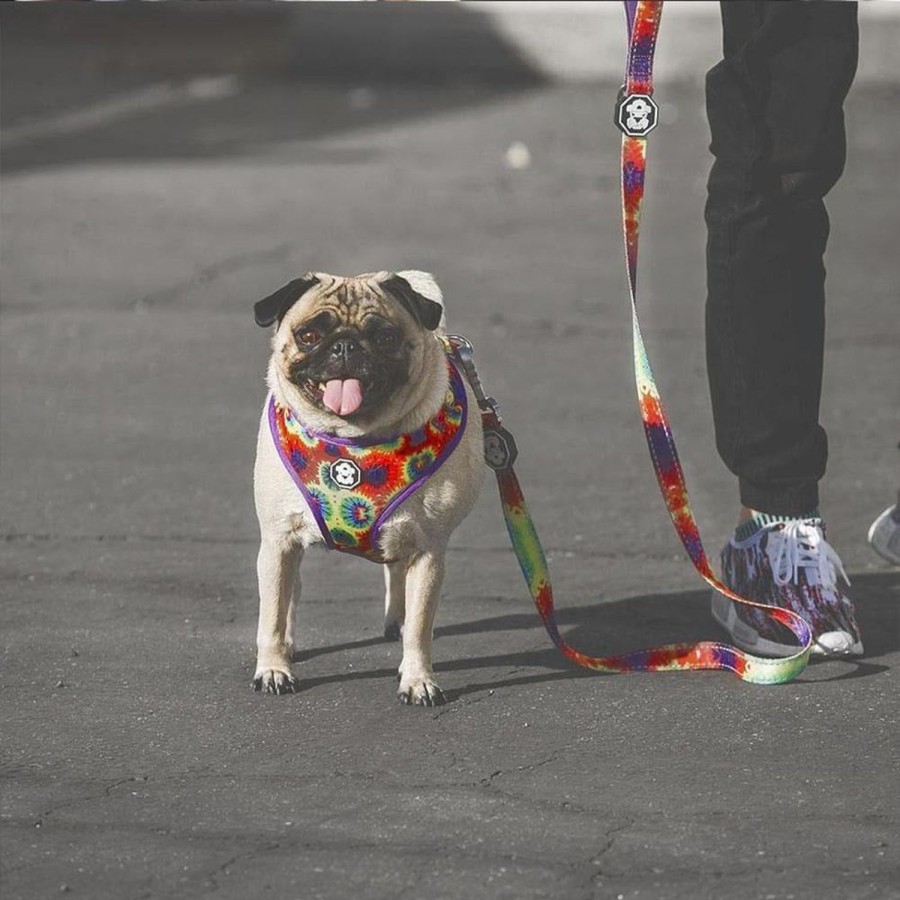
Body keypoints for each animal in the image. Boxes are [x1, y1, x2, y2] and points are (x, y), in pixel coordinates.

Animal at [246, 270, 486, 708]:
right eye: (309, 335)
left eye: (385, 337)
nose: (345, 345)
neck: (356, 441)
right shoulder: (278, 540)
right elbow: (270, 616)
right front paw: (273, 668)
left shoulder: (428, 551)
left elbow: (420, 627)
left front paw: (418, 678)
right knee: (289, 595)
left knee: (397, 575)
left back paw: (397, 622)